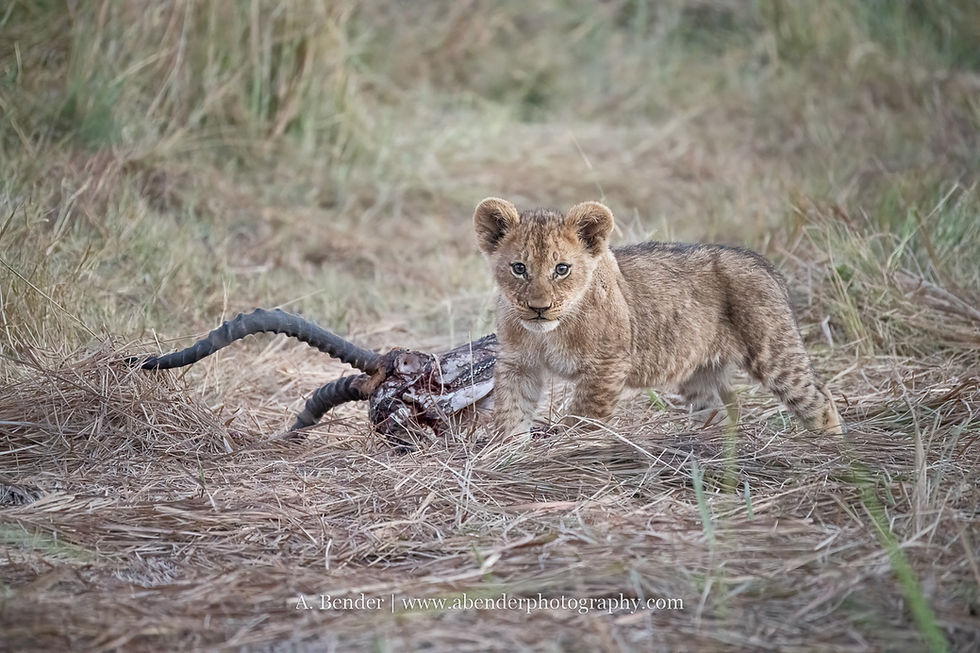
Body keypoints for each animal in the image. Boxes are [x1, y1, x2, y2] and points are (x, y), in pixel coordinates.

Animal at [473, 197, 843, 438]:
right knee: (719, 412)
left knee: (820, 398)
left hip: (773, 352)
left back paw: (832, 454)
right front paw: (509, 454)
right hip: (700, 372)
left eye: (562, 269)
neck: (548, 332)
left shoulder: (607, 366)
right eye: (519, 268)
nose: (539, 307)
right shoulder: (518, 364)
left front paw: (569, 451)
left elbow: (584, 418)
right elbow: (511, 409)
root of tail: (761, 261)